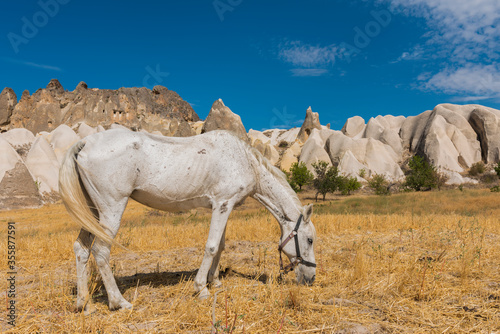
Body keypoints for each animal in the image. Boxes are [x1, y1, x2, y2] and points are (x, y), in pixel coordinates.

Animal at [59, 129, 316, 312]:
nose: (311, 279)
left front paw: (215, 282)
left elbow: (220, 246)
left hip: (93, 213)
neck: (244, 160)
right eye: (310, 240)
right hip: (110, 210)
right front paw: (201, 288)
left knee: (81, 249)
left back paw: (84, 304)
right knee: (101, 251)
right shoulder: (223, 205)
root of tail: (86, 142)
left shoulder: (224, 207)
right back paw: (119, 302)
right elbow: (211, 247)